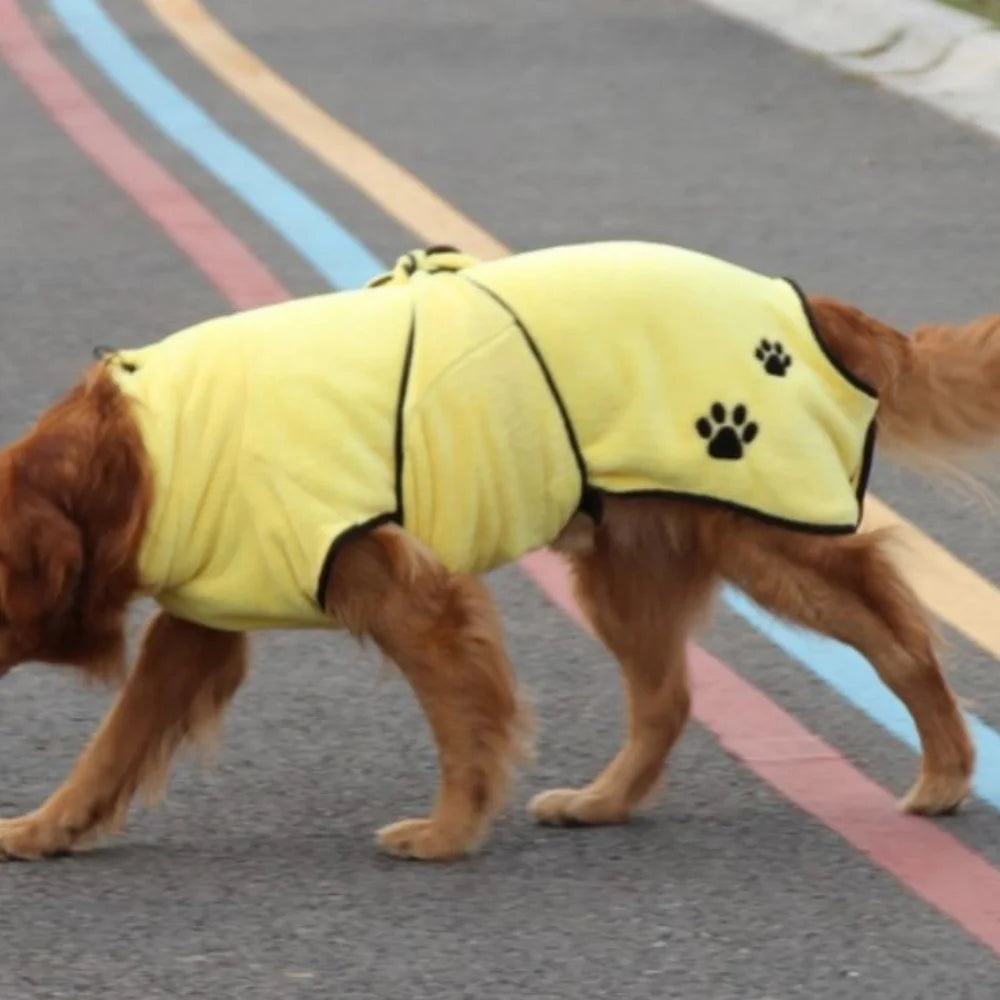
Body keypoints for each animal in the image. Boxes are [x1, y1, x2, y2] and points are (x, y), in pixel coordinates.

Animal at [0, 242, 996, 860]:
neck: (140, 456)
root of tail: (805, 303)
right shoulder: (206, 616)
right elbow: (115, 744)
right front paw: (44, 829)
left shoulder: (410, 592)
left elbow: (463, 726)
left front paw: (446, 833)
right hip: (627, 565)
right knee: (667, 698)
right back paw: (601, 802)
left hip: (767, 532)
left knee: (900, 637)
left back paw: (947, 771)